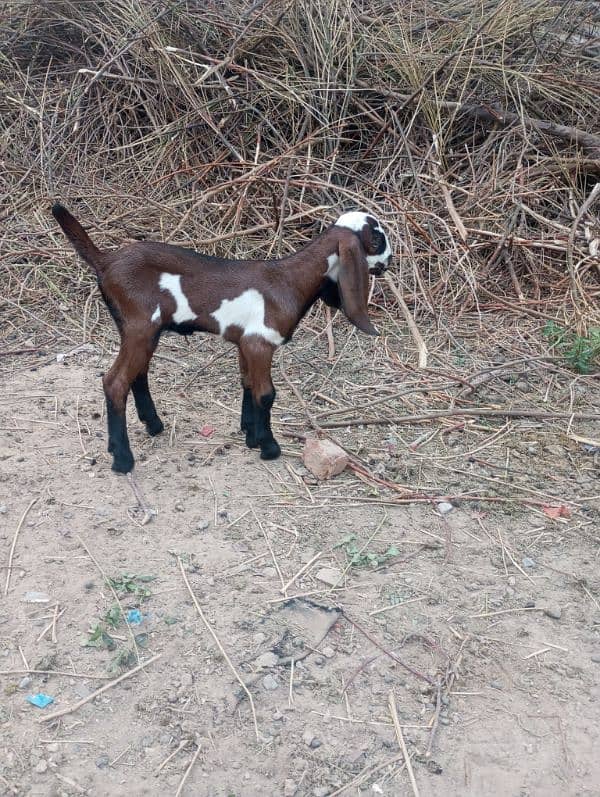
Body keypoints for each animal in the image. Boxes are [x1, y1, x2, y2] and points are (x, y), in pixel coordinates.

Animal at [50, 204, 390, 472]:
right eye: (375, 239)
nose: (390, 260)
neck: (289, 280)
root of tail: (106, 262)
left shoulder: (245, 343)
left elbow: (248, 384)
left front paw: (251, 436)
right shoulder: (260, 343)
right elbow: (266, 394)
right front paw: (270, 448)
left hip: (137, 330)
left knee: (138, 374)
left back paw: (152, 426)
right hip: (140, 326)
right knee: (115, 382)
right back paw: (122, 459)